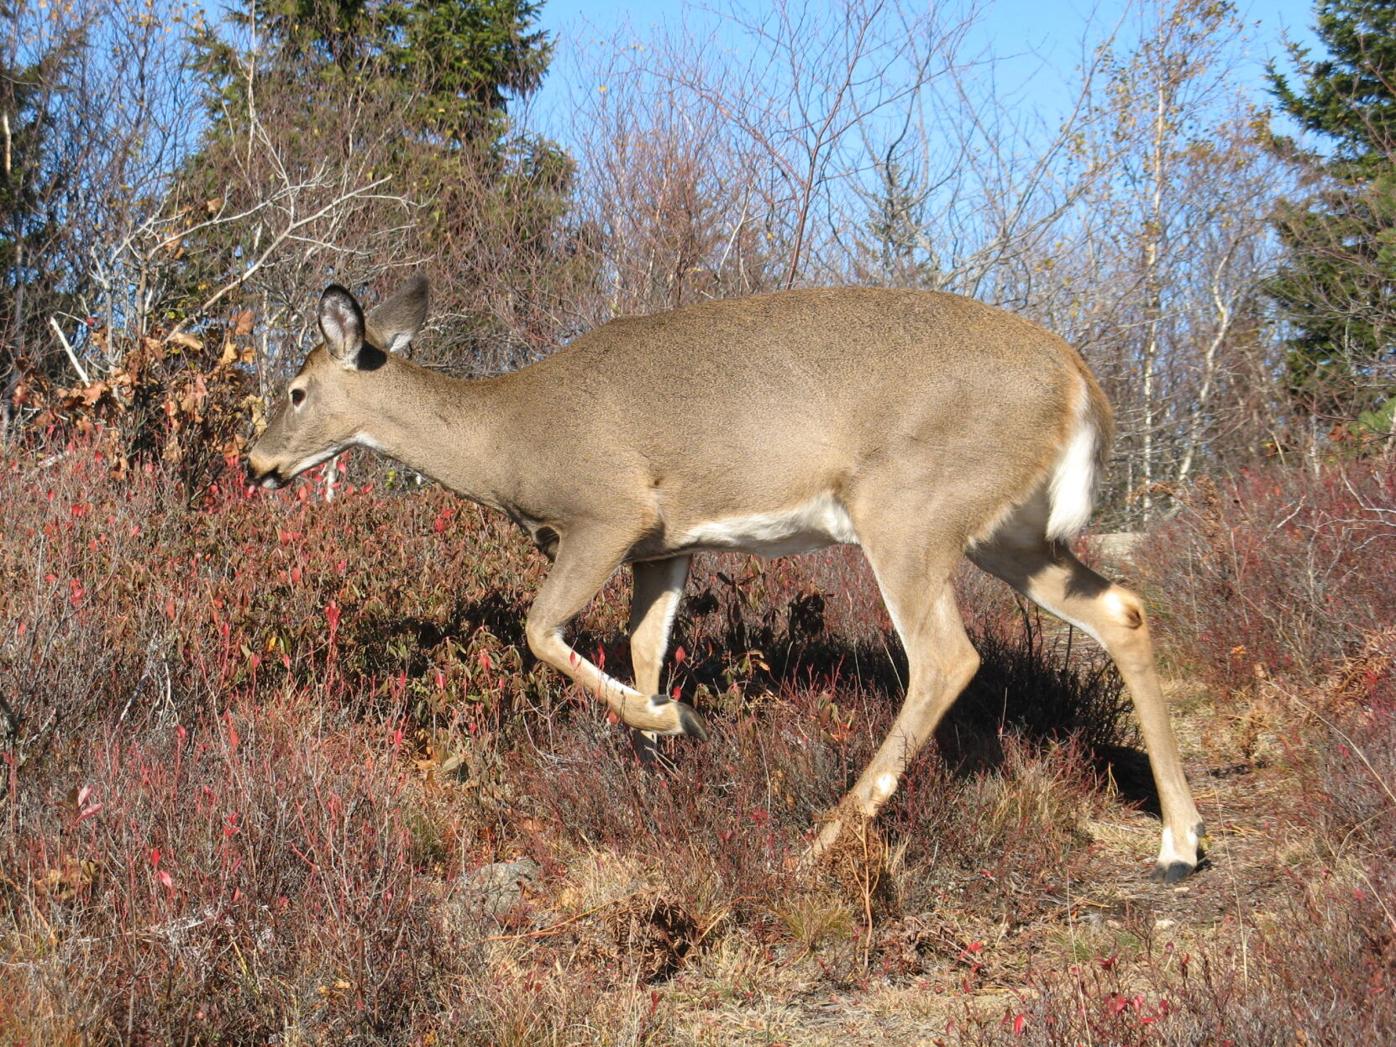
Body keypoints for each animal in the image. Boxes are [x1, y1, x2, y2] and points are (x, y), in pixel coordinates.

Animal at [246, 275, 1207, 883]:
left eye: (294, 390)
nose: (254, 463)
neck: (505, 438)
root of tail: (1079, 380)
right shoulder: (666, 545)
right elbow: (641, 647)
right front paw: (657, 765)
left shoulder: (608, 514)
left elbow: (539, 631)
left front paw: (678, 719)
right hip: (1006, 528)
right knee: (1121, 609)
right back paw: (1180, 841)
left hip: (908, 505)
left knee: (946, 657)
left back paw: (818, 842)